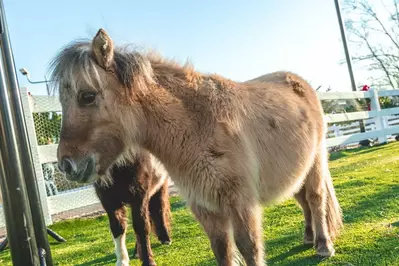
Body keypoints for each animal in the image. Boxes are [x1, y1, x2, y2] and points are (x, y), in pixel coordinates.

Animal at [50, 28, 344, 264]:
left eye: (87, 96)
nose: (66, 164)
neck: (198, 126)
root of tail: (298, 82)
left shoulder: (240, 204)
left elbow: (248, 249)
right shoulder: (206, 208)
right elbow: (222, 251)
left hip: (316, 161)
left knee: (316, 198)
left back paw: (323, 245)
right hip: (294, 170)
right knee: (302, 198)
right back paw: (308, 237)